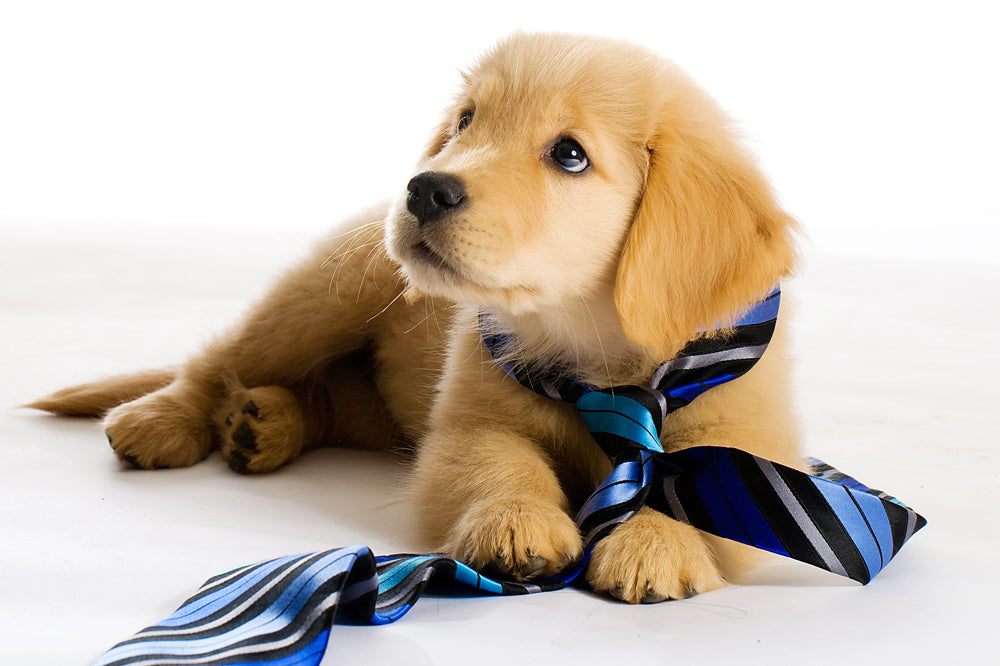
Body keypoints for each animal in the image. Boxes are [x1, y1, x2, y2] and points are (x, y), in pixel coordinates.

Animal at [27, 32, 800, 600]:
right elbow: (501, 462)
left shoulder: (753, 436)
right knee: (221, 361)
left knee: (333, 399)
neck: (592, 346)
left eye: (570, 154)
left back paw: (263, 423)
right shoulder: (467, 425)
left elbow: (703, 487)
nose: (424, 188)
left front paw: (656, 543)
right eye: (467, 120)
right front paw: (514, 523)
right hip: (317, 300)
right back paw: (165, 419)